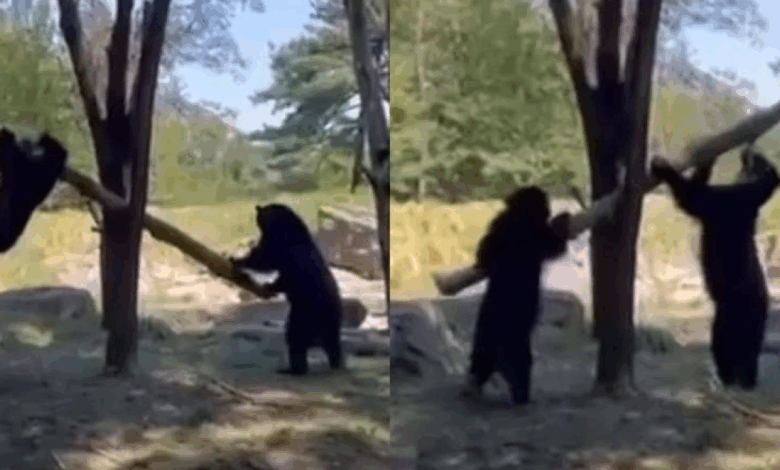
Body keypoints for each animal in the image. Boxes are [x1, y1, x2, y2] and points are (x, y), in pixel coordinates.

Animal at [231, 203, 344, 375]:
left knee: (295, 339)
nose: (257, 209)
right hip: (329, 323)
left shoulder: (281, 249)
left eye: (259, 217)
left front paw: (237, 260)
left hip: (304, 315)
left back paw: (293, 369)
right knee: (333, 345)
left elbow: (265, 259)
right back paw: (336, 363)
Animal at [461, 186, 571, 406]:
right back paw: (522, 397)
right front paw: (563, 218)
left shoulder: (497, 226)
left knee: (478, 368)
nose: (551, 208)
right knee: (521, 371)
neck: (521, 215)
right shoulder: (536, 233)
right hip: (517, 348)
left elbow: (483, 253)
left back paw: (470, 388)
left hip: (481, 345)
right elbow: (555, 246)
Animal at [651, 147, 780, 390]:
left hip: (731, 312)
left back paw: (727, 376)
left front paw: (661, 166)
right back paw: (746, 378)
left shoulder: (718, 203)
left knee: (723, 341)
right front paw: (708, 159)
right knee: (750, 348)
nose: (749, 150)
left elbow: (690, 196)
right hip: (752, 319)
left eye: (758, 160)